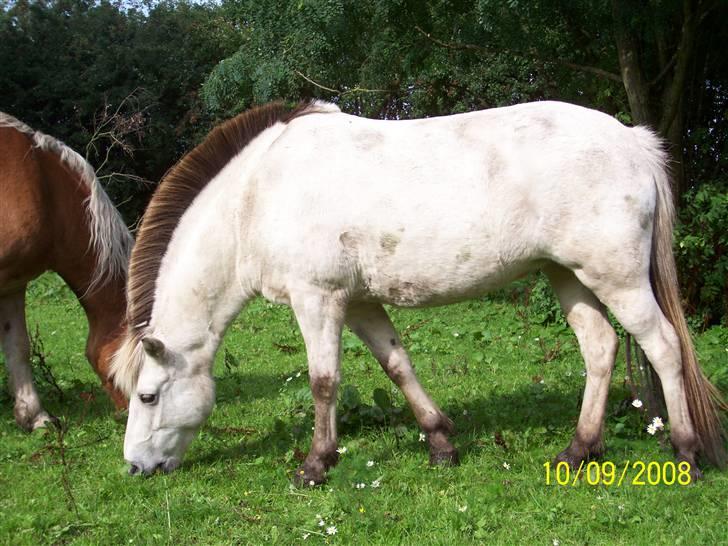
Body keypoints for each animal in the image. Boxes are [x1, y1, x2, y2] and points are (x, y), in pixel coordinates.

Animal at [111, 99, 724, 480]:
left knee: (664, 348)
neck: (256, 197)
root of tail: (632, 141)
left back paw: (686, 453)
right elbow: (398, 366)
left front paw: (316, 464)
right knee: (600, 348)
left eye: (148, 397)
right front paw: (441, 443)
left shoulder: (318, 300)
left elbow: (323, 383)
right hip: (567, 276)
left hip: (617, 279)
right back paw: (577, 451)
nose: (136, 467)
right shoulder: (359, 303)